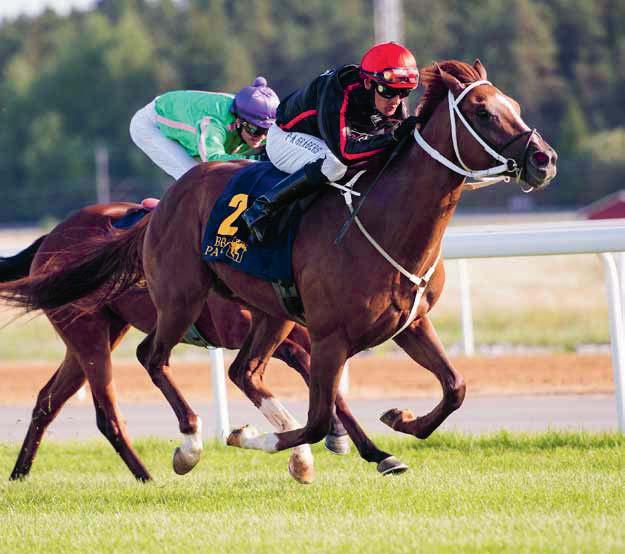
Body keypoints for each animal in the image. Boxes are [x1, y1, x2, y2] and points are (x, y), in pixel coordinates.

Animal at [0, 205, 410, 480]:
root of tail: (51, 237)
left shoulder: (312, 337)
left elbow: (332, 395)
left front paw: (368, 450)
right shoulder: (279, 341)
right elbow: (327, 394)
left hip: (99, 331)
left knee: (47, 401)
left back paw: (20, 474)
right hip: (88, 334)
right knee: (107, 414)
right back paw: (148, 475)